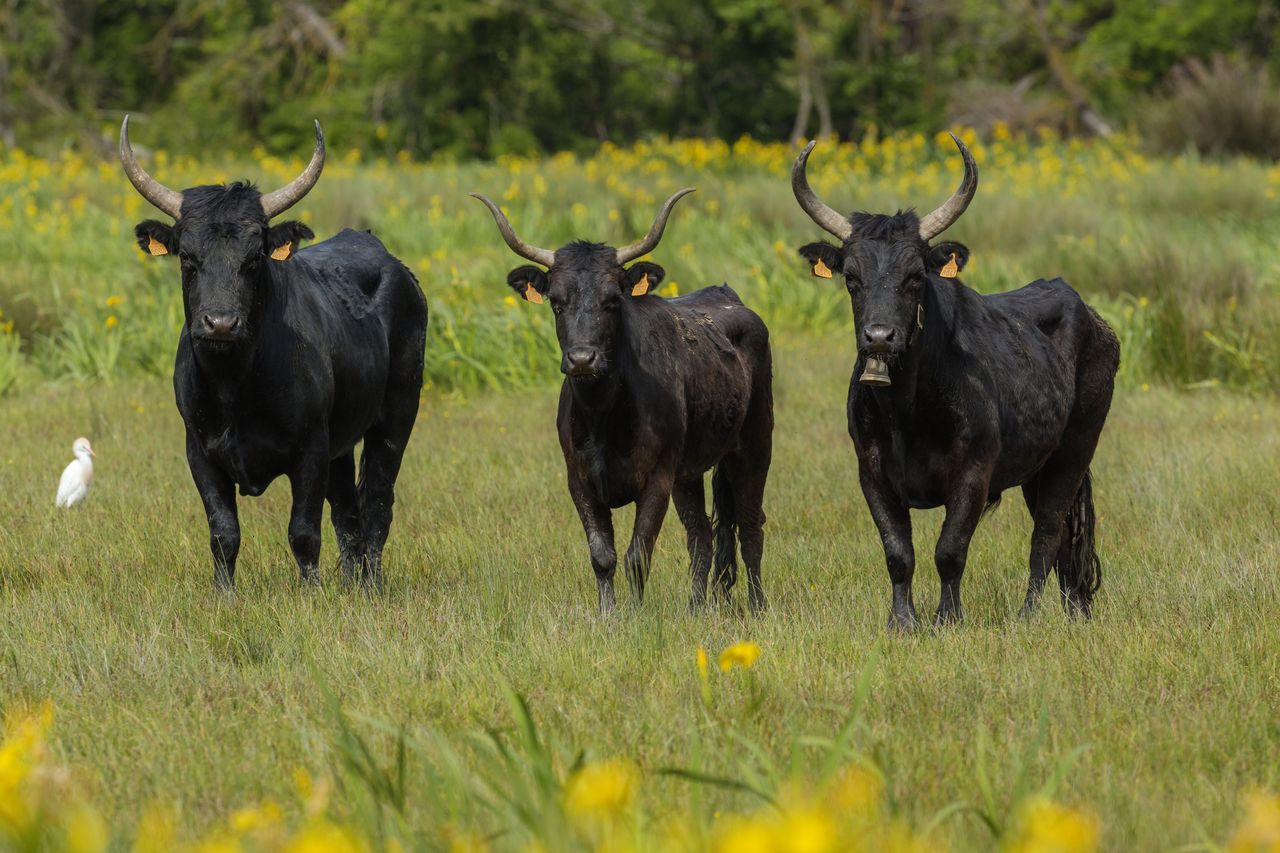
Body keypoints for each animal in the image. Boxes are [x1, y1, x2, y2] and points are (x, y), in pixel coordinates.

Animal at [121, 116, 427, 589]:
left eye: (253, 258)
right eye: (187, 257)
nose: (221, 323)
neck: (233, 385)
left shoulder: (311, 451)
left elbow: (303, 532)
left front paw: (310, 594)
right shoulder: (200, 452)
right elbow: (223, 532)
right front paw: (224, 595)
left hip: (397, 415)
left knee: (377, 501)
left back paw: (371, 586)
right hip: (342, 442)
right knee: (348, 512)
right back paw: (350, 585)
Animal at [793, 133, 1116, 625]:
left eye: (914, 277)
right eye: (851, 277)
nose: (879, 337)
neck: (907, 414)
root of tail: (1093, 318)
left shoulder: (973, 475)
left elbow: (950, 551)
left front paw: (948, 618)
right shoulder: (872, 474)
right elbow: (898, 553)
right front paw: (902, 621)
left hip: (1075, 449)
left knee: (1046, 533)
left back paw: (1027, 615)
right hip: (1037, 466)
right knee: (1060, 537)